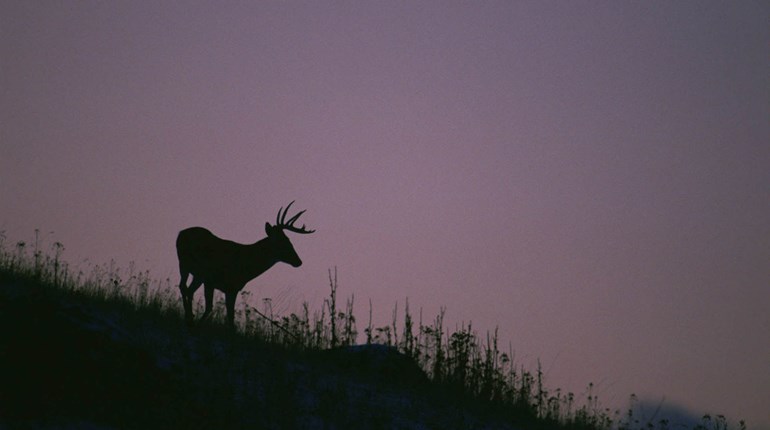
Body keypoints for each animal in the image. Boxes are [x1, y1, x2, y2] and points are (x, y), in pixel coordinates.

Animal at [176, 201, 315, 328]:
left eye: (289, 240)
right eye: (283, 241)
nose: (299, 261)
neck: (246, 265)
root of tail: (181, 233)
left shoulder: (230, 287)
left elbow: (227, 315)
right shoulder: (215, 281)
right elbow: (215, 309)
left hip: (193, 271)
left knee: (187, 289)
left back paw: (189, 317)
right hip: (187, 265)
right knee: (184, 287)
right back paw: (189, 318)